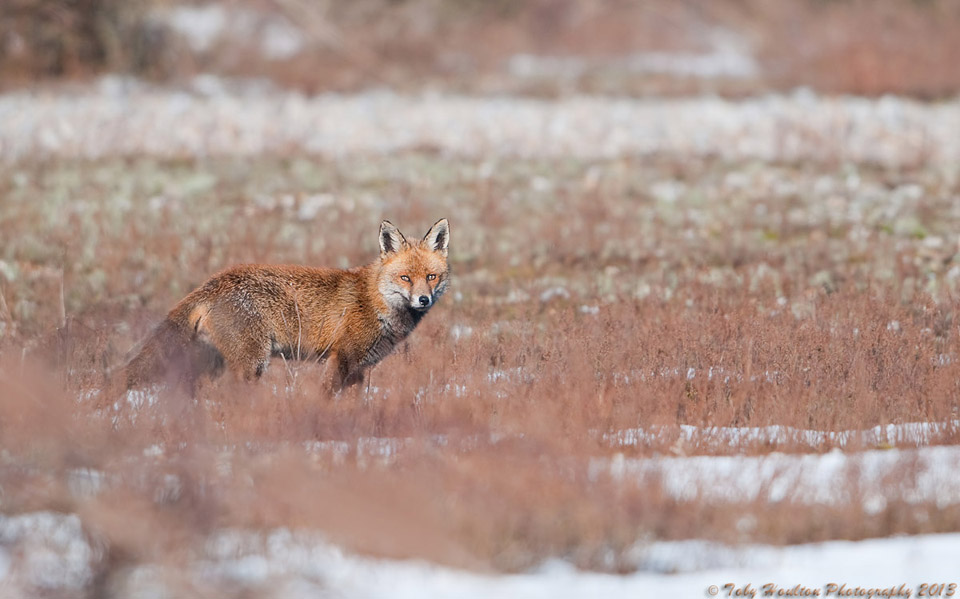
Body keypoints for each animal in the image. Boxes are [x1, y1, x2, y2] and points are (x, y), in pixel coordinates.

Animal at [121, 218, 450, 392]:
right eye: (405, 277)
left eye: (431, 277)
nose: (423, 299)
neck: (374, 300)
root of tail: (215, 280)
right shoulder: (341, 359)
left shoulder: (359, 369)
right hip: (252, 365)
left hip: (215, 364)